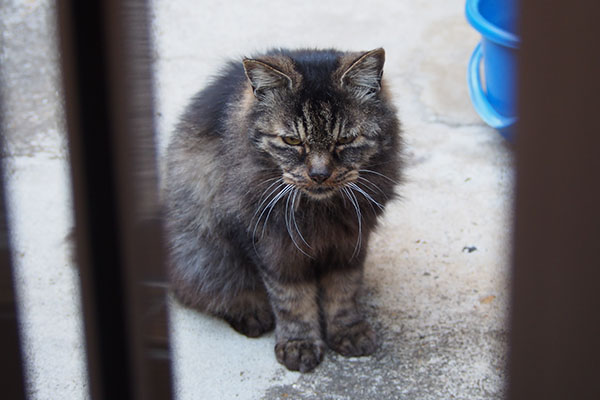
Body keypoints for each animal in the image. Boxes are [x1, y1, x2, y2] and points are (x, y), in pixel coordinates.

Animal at [163, 47, 404, 372]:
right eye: (292, 140)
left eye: (345, 139)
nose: (319, 174)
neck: (320, 213)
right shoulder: (273, 247)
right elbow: (292, 300)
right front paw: (299, 345)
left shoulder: (350, 240)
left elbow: (344, 290)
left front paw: (349, 331)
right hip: (204, 255)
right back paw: (252, 315)